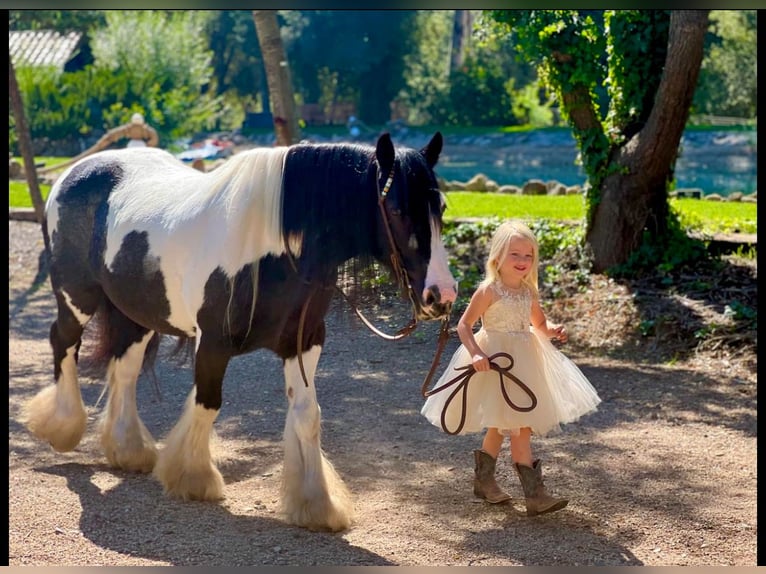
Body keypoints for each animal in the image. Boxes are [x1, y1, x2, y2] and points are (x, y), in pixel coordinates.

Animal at [22, 133, 456, 532]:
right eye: (396, 208)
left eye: (441, 207)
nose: (443, 295)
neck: (273, 247)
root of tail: (75, 173)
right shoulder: (213, 343)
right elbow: (207, 403)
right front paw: (193, 478)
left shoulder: (305, 343)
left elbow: (307, 415)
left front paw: (317, 504)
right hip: (76, 297)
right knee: (63, 344)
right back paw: (62, 426)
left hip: (137, 315)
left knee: (125, 371)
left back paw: (129, 450)